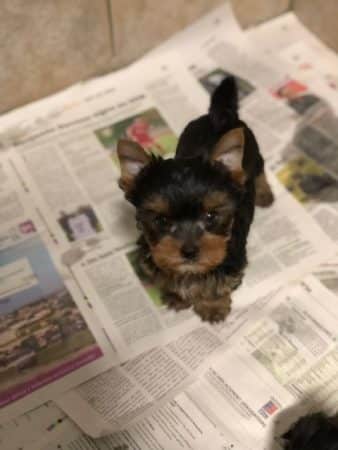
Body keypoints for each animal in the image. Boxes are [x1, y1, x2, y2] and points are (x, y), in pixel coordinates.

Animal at [117, 78, 274, 324]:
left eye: (211, 216)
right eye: (161, 220)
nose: (189, 252)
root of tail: (220, 117)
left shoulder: (229, 261)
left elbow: (215, 283)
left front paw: (212, 306)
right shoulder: (153, 256)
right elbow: (167, 273)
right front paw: (176, 295)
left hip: (253, 154)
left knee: (258, 170)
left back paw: (264, 193)